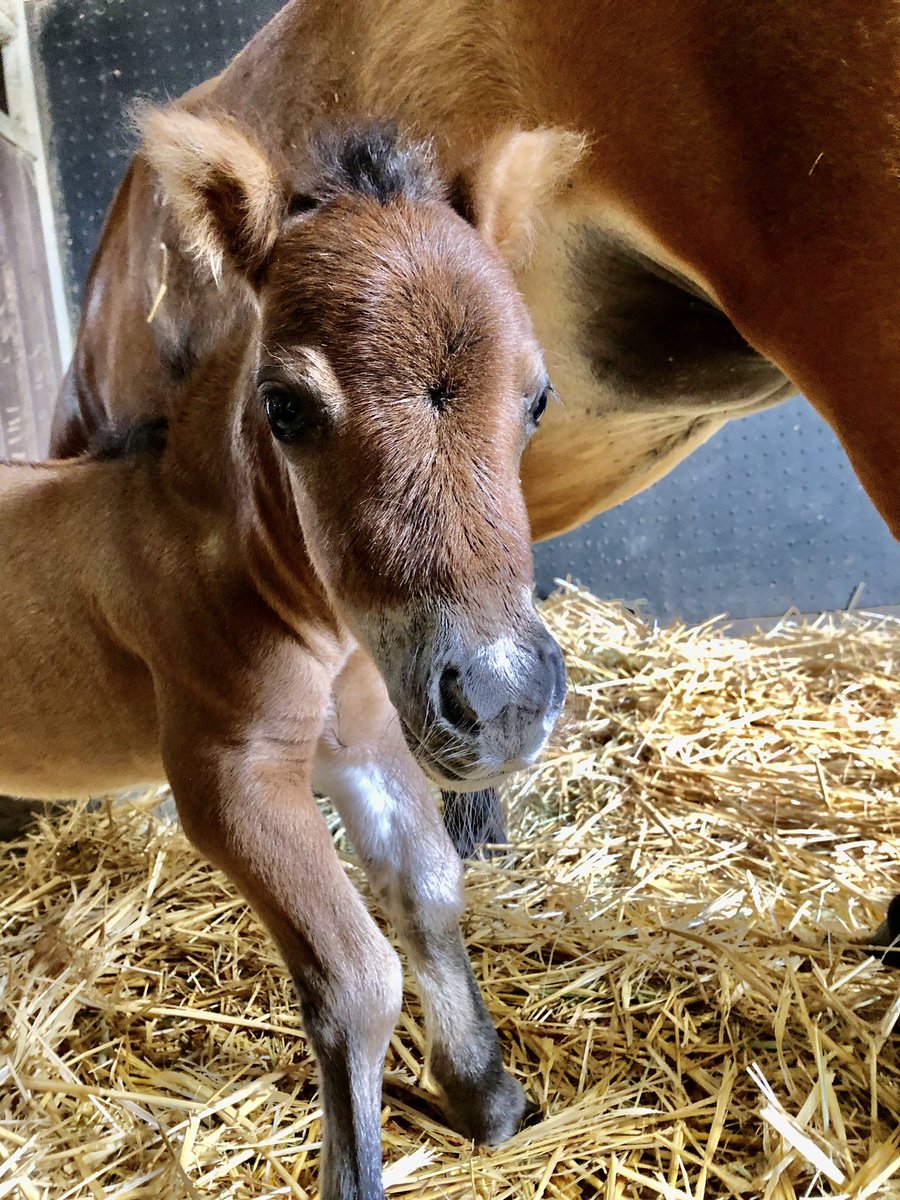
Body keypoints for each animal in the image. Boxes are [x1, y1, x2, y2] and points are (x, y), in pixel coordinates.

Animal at [1, 108, 567, 1200]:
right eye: (287, 406)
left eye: (539, 400)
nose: (504, 699)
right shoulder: (232, 776)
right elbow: (356, 978)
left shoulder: (369, 743)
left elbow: (431, 892)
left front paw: (486, 1096)